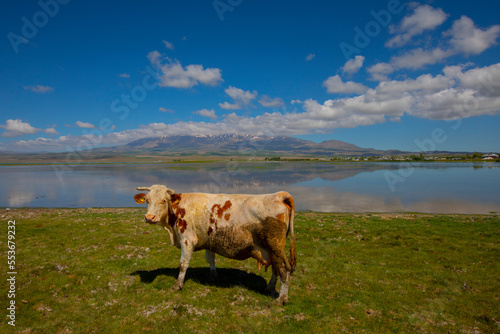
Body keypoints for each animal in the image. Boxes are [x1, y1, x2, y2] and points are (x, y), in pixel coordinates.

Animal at [134, 185, 296, 306]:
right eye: (147, 200)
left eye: (163, 200)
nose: (149, 217)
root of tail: (279, 195)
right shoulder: (208, 240)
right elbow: (210, 259)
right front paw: (213, 275)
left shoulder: (187, 240)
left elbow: (183, 264)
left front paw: (177, 285)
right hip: (273, 250)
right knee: (276, 268)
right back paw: (270, 288)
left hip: (275, 246)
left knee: (284, 270)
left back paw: (281, 299)